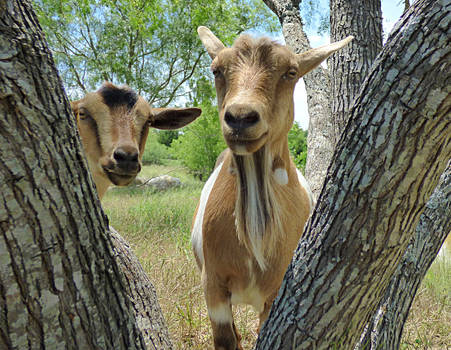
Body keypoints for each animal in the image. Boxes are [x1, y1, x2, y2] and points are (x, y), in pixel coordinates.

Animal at [191, 26, 354, 348]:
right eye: (216, 70)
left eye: (290, 72)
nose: (240, 117)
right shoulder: (212, 285)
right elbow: (227, 340)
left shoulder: (276, 291)